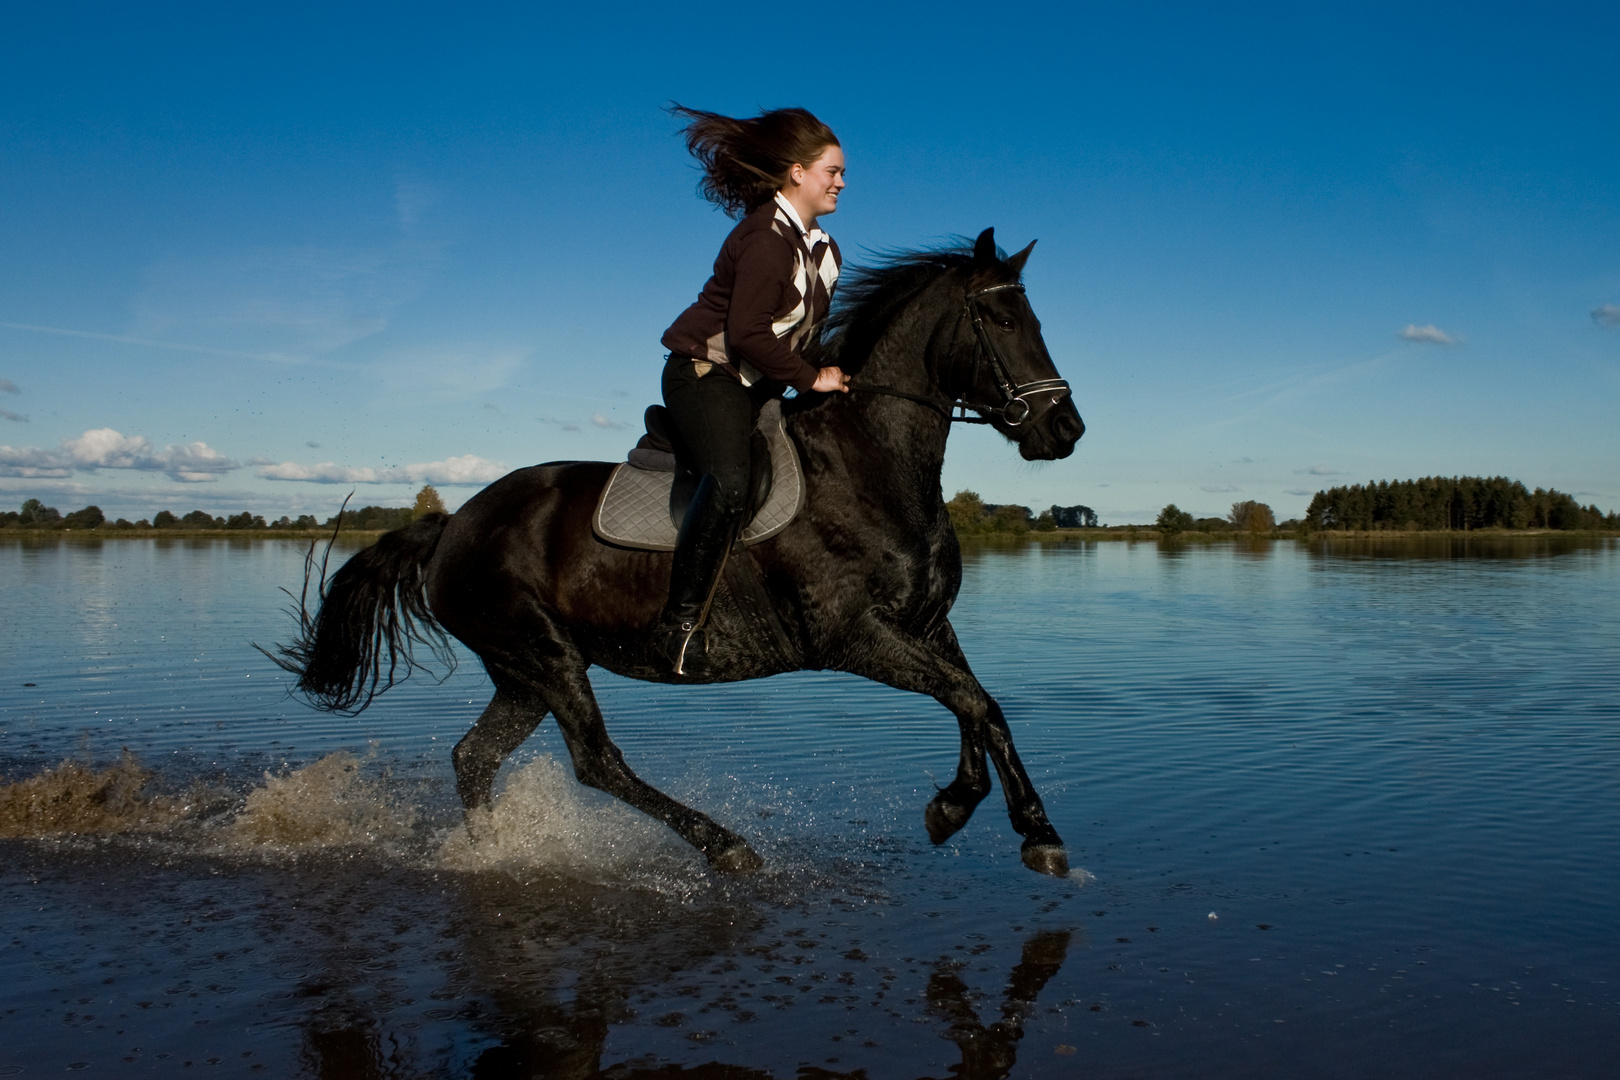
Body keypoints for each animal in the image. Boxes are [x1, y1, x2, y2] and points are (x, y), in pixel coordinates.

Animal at [275, 228, 1088, 880]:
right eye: (1001, 318)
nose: (1066, 429)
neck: (867, 463)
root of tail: (451, 525)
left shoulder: (924, 625)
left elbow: (982, 706)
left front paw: (993, 817)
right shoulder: (853, 636)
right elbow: (972, 701)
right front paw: (988, 818)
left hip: (521, 673)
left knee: (475, 758)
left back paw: (488, 850)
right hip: (544, 656)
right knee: (597, 762)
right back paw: (723, 846)